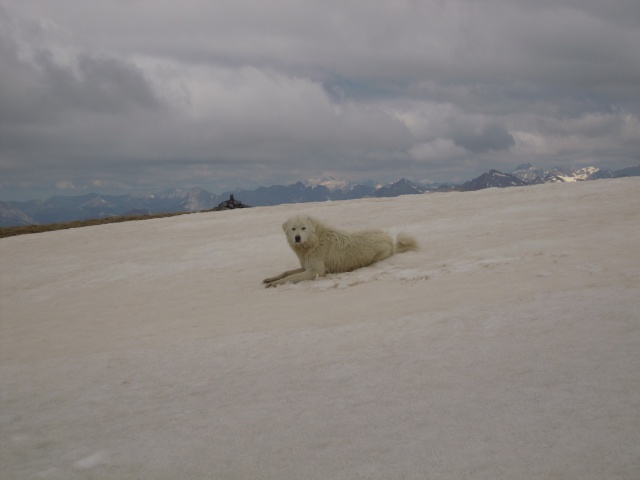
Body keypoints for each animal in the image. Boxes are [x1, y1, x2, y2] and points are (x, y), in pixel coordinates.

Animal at [262, 215, 418, 288]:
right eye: (293, 229)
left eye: (303, 228)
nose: (297, 238)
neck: (314, 241)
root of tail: (389, 239)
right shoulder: (306, 266)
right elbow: (286, 273)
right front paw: (270, 279)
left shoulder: (315, 271)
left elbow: (290, 277)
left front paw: (274, 284)